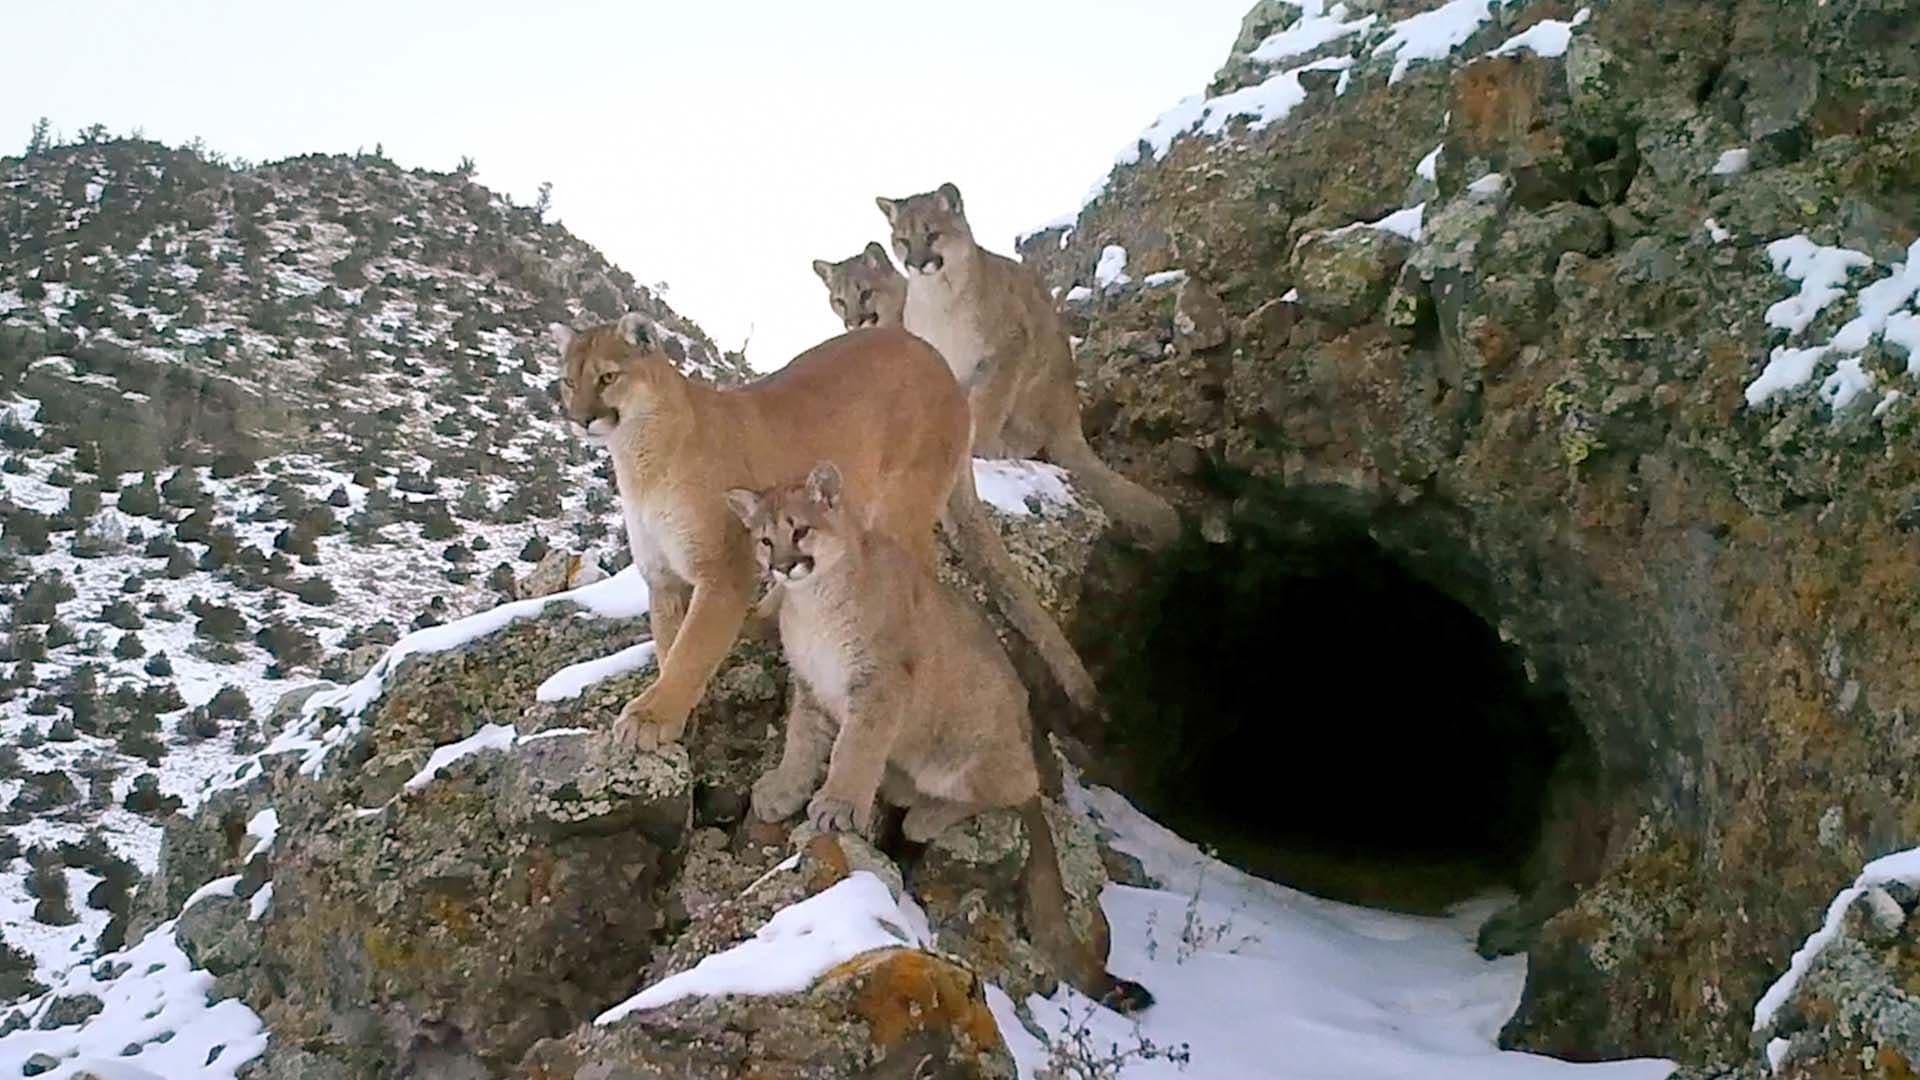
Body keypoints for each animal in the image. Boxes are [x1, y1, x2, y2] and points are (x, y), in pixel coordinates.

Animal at [552, 315, 1098, 745]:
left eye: (607, 377)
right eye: (567, 382)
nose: (579, 418)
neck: (639, 458)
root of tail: (942, 365)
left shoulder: (723, 569)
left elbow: (690, 649)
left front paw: (650, 717)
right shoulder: (663, 578)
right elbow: (671, 646)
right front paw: (675, 718)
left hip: (901, 504)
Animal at [875, 182, 1175, 545]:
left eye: (932, 234)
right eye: (903, 240)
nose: (917, 263)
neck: (937, 298)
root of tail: (1070, 415)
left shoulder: (1008, 346)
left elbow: (988, 404)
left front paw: (979, 448)